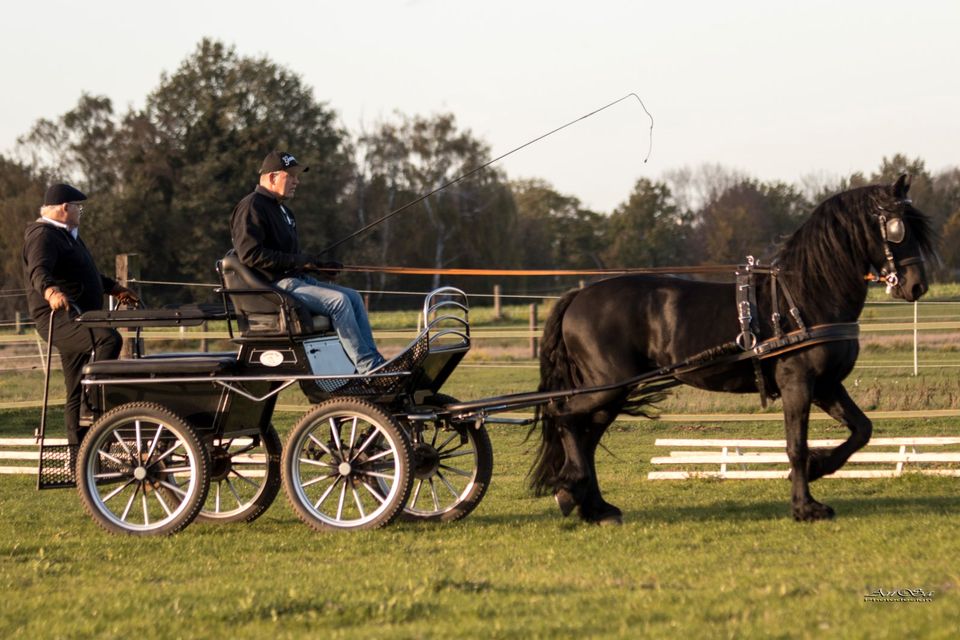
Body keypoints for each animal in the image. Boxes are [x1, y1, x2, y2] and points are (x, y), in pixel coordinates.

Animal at [528, 172, 932, 524]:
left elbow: (862, 429)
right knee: (562, 414)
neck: (805, 297)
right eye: (897, 228)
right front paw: (805, 506)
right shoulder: (798, 383)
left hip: (609, 394)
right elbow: (796, 445)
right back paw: (571, 488)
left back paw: (595, 507)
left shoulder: (827, 385)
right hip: (606, 387)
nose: (917, 286)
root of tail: (578, 295)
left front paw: (819, 469)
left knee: (586, 435)